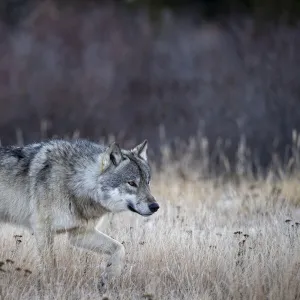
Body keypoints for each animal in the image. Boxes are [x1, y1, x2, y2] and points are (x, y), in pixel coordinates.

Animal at [0, 138, 159, 288]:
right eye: (131, 183)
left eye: (148, 182)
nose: (155, 206)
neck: (75, 182)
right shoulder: (42, 230)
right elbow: (51, 266)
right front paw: (51, 287)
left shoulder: (79, 234)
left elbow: (120, 248)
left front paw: (107, 280)